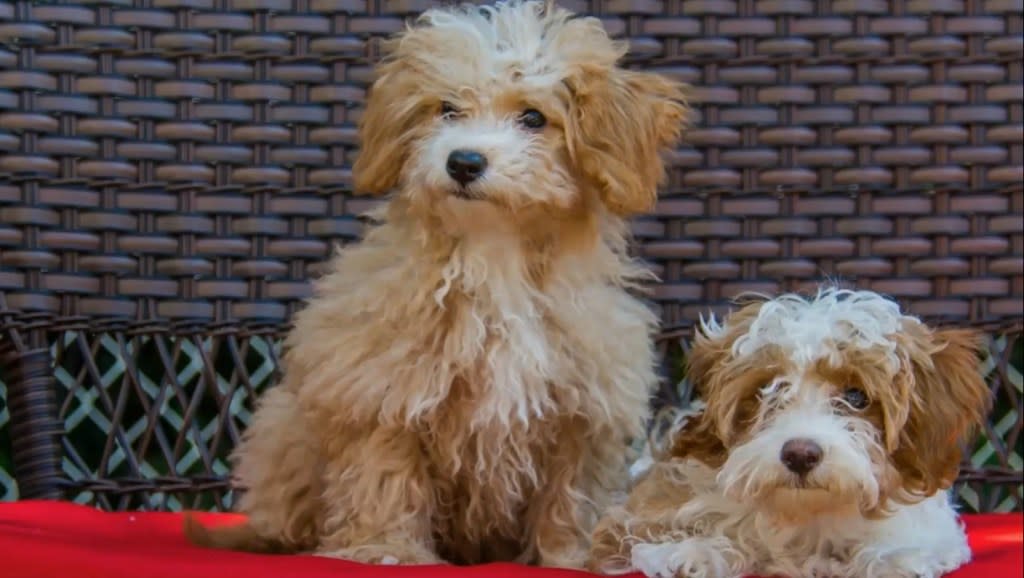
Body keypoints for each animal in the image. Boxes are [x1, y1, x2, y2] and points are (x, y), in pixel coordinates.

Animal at [189, 0, 692, 569]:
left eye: (533, 117)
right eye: (447, 110)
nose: (464, 160)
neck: (492, 256)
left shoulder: (583, 407)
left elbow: (570, 494)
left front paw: (568, 557)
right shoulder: (381, 387)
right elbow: (384, 474)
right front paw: (387, 550)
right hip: (285, 429)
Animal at [589, 286, 987, 578]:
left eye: (856, 396)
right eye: (766, 391)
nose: (799, 454)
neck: (806, 514)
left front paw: (890, 559)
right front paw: (693, 552)